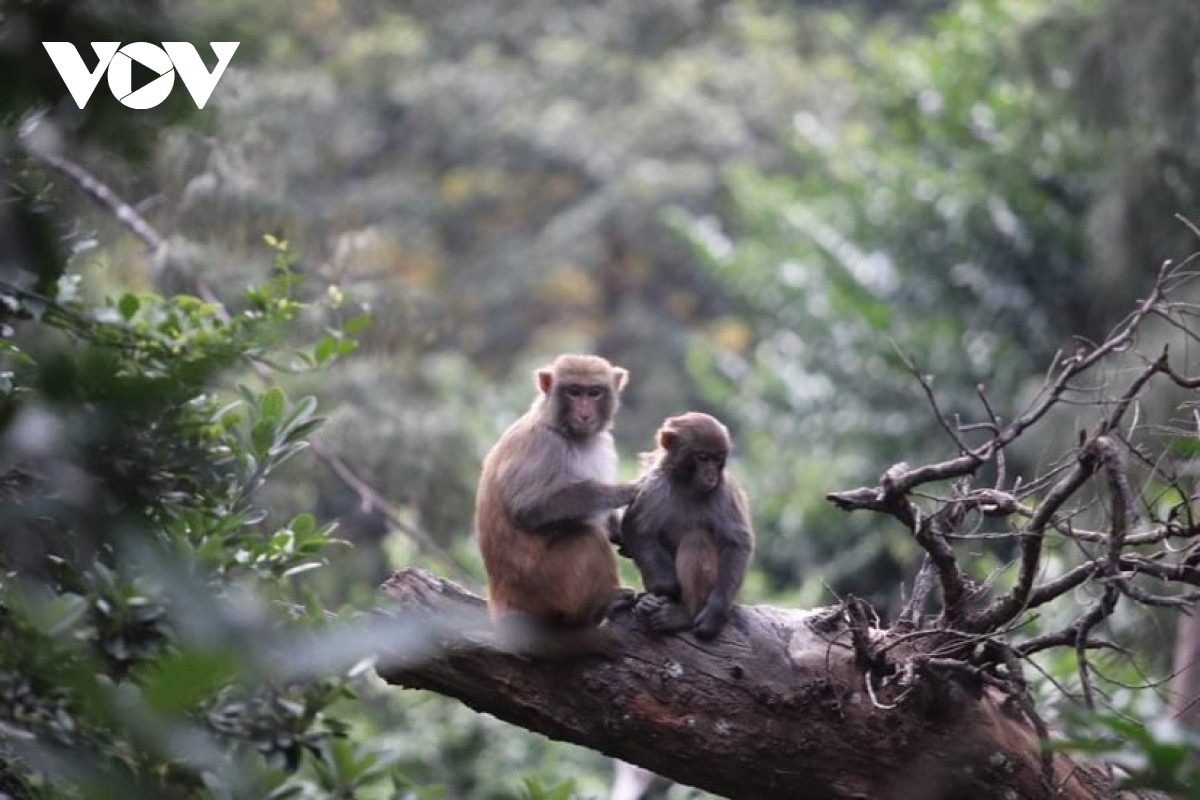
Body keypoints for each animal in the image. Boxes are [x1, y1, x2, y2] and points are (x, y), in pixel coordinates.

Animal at [475, 352, 643, 652]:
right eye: (574, 392)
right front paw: (622, 492)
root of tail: (501, 604)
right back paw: (599, 607)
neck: (563, 429)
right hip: (541, 591)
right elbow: (529, 508)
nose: (585, 414)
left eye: (594, 392)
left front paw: (622, 534)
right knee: (586, 538)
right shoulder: (543, 446)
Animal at [619, 412, 748, 638]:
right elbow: (638, 530)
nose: (711, 475)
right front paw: (665, 587)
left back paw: (684, 615)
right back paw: (650, 602)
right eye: (702, 457)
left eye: (717, 458)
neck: (688, 484)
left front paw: (716, 610)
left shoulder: (722, 490)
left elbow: (736, 543)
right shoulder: (656, 483)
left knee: (696, 538)